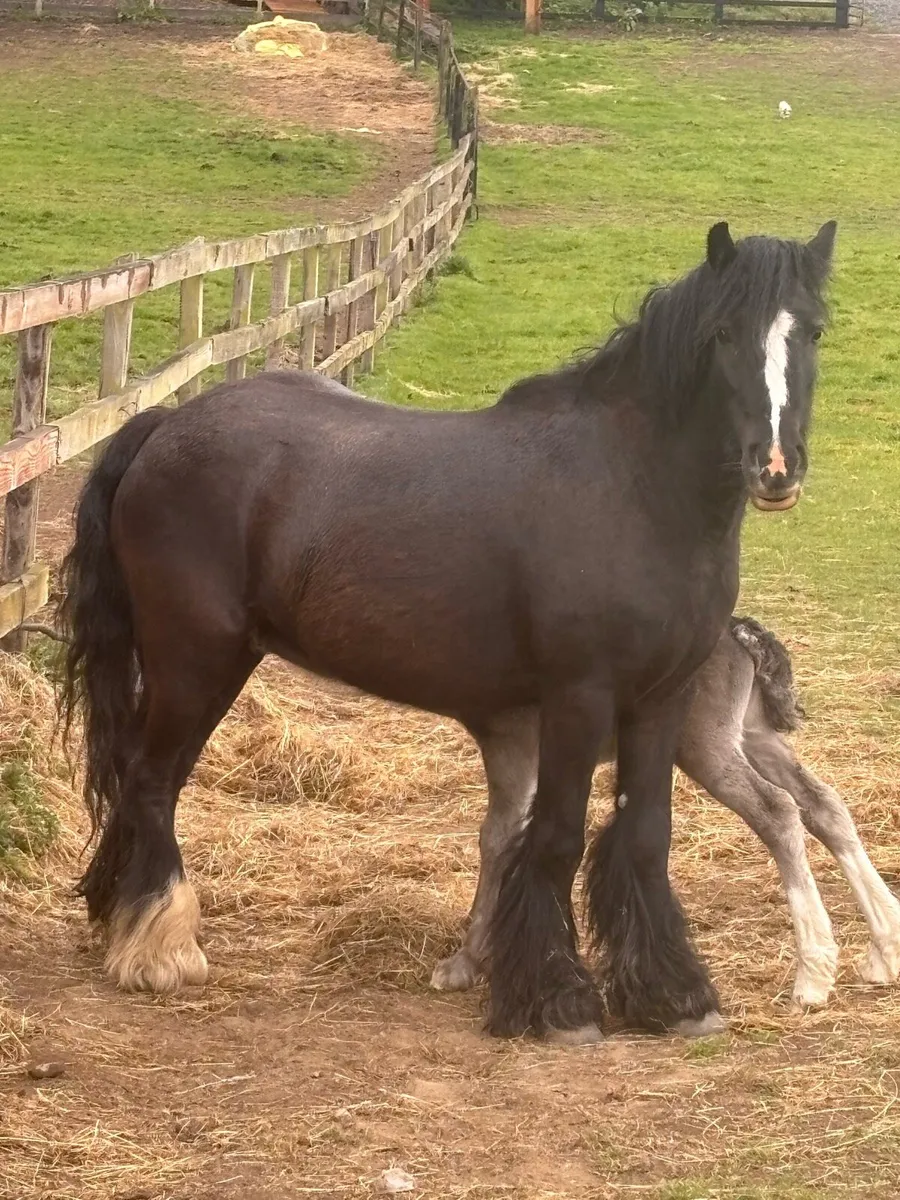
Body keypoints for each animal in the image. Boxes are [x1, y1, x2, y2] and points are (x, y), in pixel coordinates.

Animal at [58, 219, 837, 1043]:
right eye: (724, 334)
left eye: (813, 330)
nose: (776, 467)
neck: (633, 488)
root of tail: (165, 425)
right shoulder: (580, 697)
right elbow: (556, 836)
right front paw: (557, 1001)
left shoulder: (661, 698)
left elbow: (646, 834)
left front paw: (672, 993)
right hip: (195, 659)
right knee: (151, 780)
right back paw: (160, 950)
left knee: (139, 775)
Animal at [433, 616, 900, 1017]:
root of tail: (738, 631)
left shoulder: (512, 746)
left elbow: (496, 838)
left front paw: (465, 962)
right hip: (753, 736)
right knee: (823, 804)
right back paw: (886, 949)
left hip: (704, 744)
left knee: (778, 810)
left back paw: (812, 976)